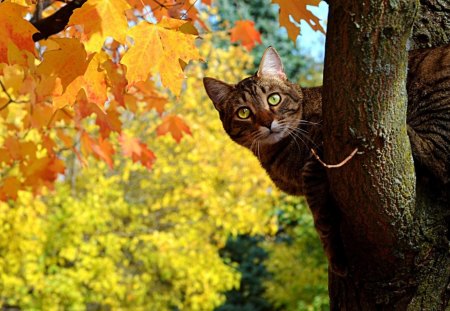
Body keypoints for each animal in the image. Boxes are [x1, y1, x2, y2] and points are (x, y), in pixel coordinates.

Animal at [203, 45, 450, 276]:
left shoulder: (316, 164)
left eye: (274, 99)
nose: (267, 123)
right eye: (243, 113)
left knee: (433, 154)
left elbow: (321, 218)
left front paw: (335, 257)